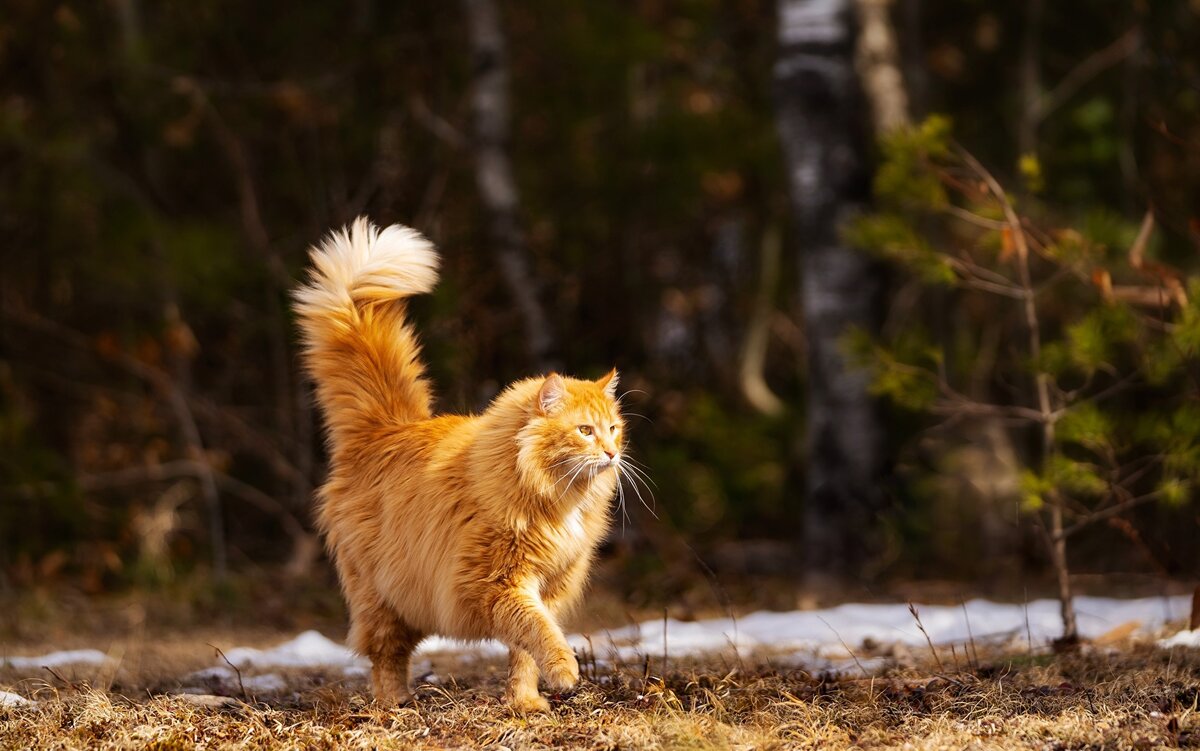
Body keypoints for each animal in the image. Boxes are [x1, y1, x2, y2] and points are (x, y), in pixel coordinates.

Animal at [292, 215, 628, 705]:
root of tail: (385, 427)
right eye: (585, 430)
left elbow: (524, 653)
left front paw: (525, 702)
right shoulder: (496, 583)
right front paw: (565, 671)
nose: (611, 452)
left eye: (614, 428)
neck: (557, 496)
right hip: (382, 596)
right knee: (384, 656)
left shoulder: (550, 584)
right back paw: (394, 705)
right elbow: (539, 631)